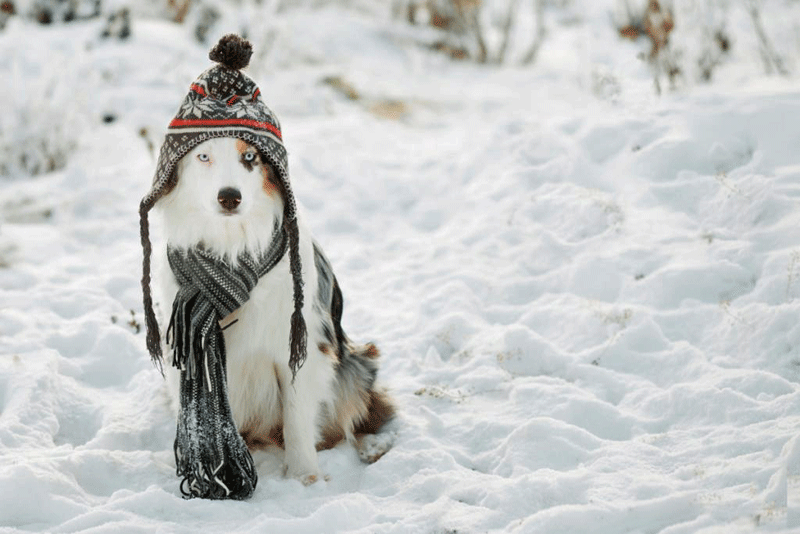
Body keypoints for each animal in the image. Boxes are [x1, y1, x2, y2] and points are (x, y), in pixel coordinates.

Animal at [152, 137, 396, 486]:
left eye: (250, 156)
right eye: (204, 156)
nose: (230, 196)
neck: (231, 247)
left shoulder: (297, 347)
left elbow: (297, 418)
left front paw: (304, 477)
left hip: (354, 365)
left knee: (364, 412)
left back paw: (373, 445)